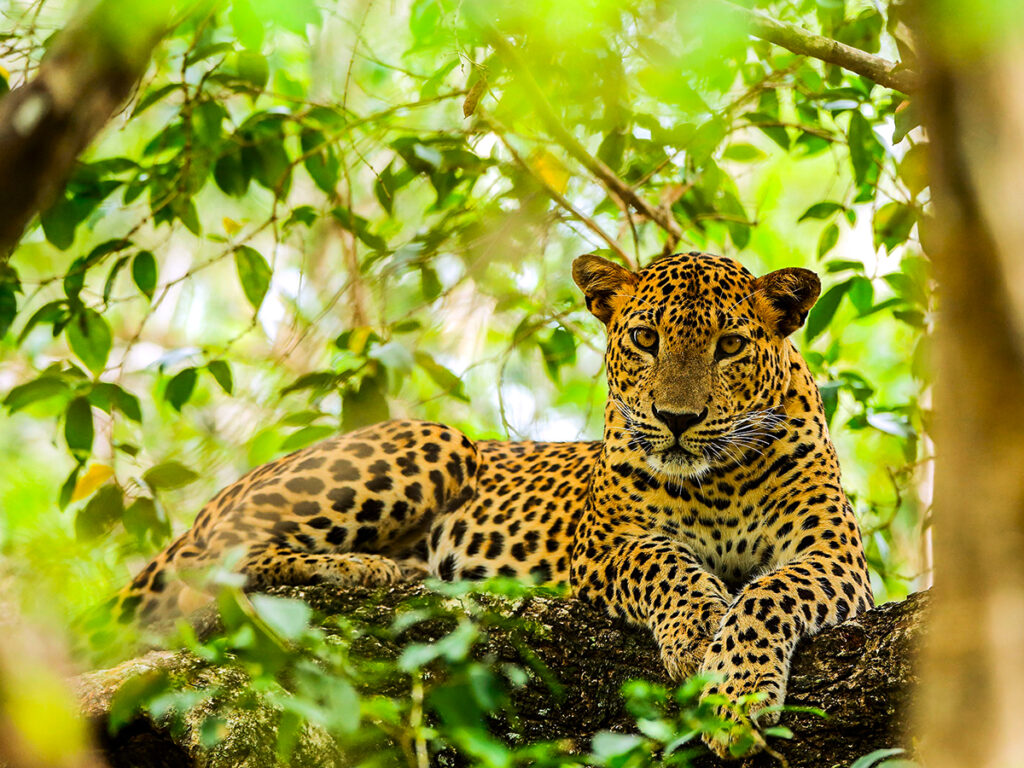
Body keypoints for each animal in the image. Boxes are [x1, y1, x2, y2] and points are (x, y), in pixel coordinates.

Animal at [114, 251, 874, 757]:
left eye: (731, 345)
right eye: (644, 338)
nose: (677, 419)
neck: (717, 479)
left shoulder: (833, 556)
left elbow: (769, 594)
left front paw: (737, 692)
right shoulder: (608, 545)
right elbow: (670, 567)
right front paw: (696, 636)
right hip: (435, 440)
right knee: (211, 561)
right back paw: (362, 569)